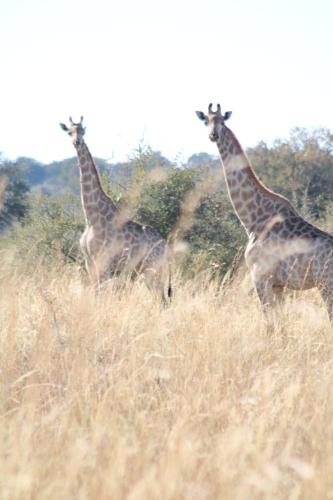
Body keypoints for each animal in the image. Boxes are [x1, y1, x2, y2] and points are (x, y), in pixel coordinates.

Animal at [58, 117, 170, 300]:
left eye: (82, 130)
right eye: (69, 131)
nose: (77, 142)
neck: (91, 217)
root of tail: (165, 246)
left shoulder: (103, 262)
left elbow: (100, 294)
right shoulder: (90, 262)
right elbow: (94, 292)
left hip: (150, 268)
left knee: (161, 298)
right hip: (145, 269)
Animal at [196, 103, 333, 318]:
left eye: (222, 121)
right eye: (206, 121)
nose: (213, 135)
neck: (253, 219)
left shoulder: (260, 276)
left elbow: (269, 321)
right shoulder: (277, 284)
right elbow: (280, 322)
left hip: (326, 285)